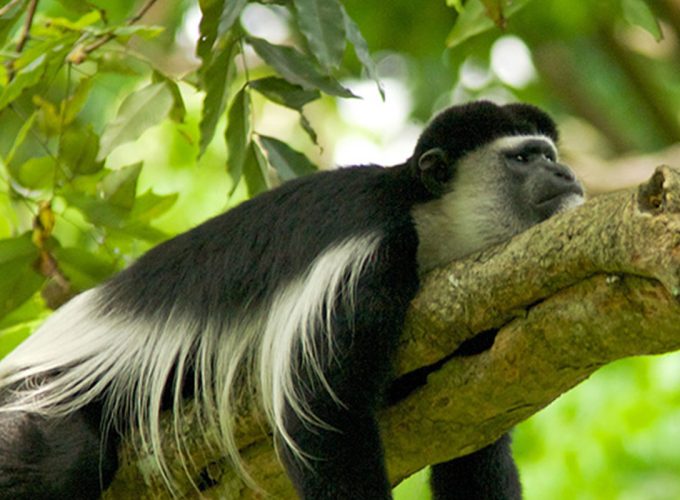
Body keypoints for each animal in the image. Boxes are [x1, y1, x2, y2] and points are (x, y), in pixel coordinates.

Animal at [0, 100, 584, 499]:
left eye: (550, 155)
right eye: (525, 157)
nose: (567, 173)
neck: (426, 222)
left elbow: (475, 442)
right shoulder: (360, 265)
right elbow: (325, 421)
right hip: (37, 398)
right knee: (61, 459)